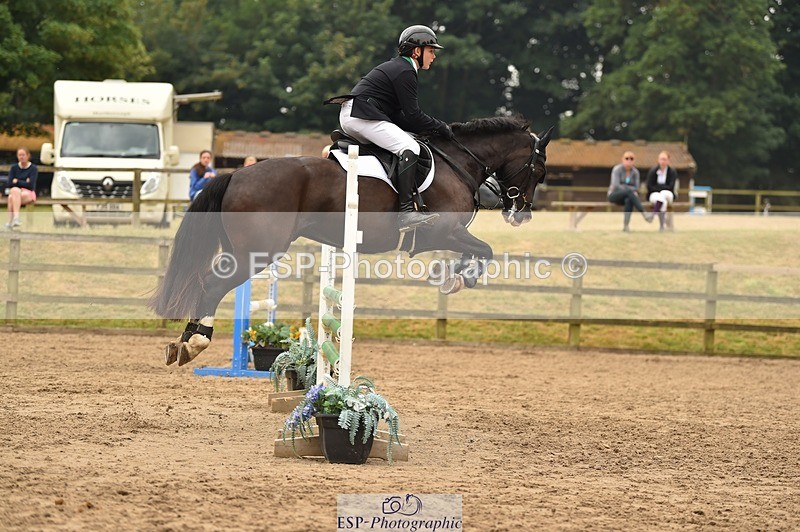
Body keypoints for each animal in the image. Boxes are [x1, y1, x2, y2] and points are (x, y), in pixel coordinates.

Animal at [149, 115, 552, 366]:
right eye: (539, 169)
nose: (521, 214)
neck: (458, 163)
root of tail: (236, 175)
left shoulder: (448, 235)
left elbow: (478, 251)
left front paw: (454, 276)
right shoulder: (444, 231)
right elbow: (485, 249)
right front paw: (460, 278)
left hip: (242, 250)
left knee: (207, 282)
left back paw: (183, 342)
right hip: (256, 253)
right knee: (212, 284)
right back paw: (196, 342)